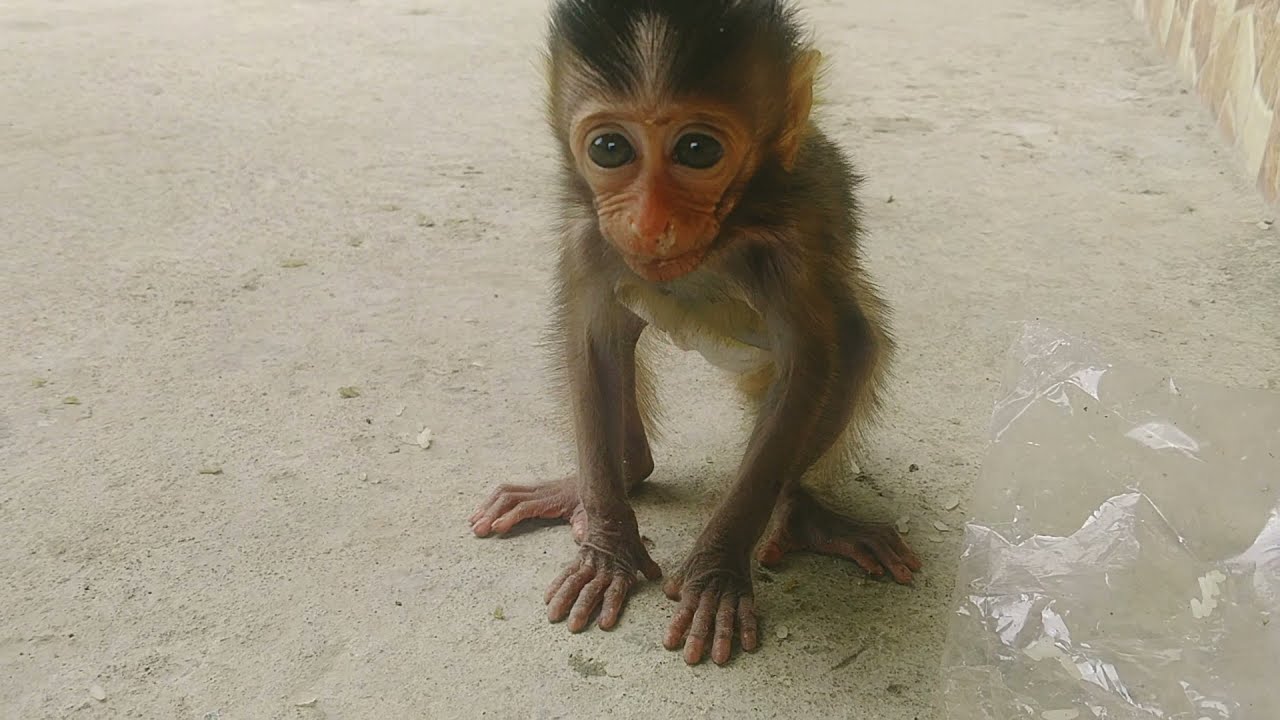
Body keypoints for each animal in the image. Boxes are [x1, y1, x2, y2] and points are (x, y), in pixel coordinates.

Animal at [468, 0, 922, 666]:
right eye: (610, 148)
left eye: (698, 150)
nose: (648, 223)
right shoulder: (587, 232)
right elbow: (593, 340)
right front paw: (608, 549)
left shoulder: (793, 243)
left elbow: (809, 361)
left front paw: (716, 574)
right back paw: (604, 480)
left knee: (856, 342)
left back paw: (801, 514)